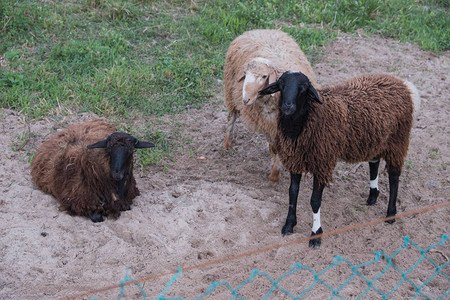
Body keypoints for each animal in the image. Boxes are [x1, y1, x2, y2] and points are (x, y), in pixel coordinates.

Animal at [222, 29, 314, 183]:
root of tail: (261, 30)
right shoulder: (268, 123)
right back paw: (227, 143)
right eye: (245, 74)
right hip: (230, 93)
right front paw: (274, 175)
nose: (245, 100)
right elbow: (275, 148)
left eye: (264, 76)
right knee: (231, 117)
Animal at [258, 71, 420, 248]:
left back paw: (390, 214)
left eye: (304, 88)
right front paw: (289, 225)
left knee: (394, 177)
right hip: (375, 137)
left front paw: (316, 234)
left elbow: (315, 201)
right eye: (281, 85)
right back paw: (372, 196)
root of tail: (402, 84)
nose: (288, 106)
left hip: (398, 140)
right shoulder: (296, 159)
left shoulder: (322, 162)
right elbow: (292, 193)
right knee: (374, 162)